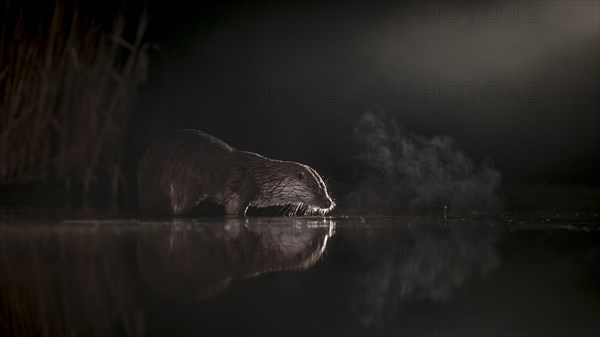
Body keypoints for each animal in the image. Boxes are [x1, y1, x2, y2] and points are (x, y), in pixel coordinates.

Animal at [137, 129, 336, 215]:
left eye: (325, 188)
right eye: (315, 188)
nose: (329, 202)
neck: (262, 177)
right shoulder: (239, 191)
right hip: (184, 181)